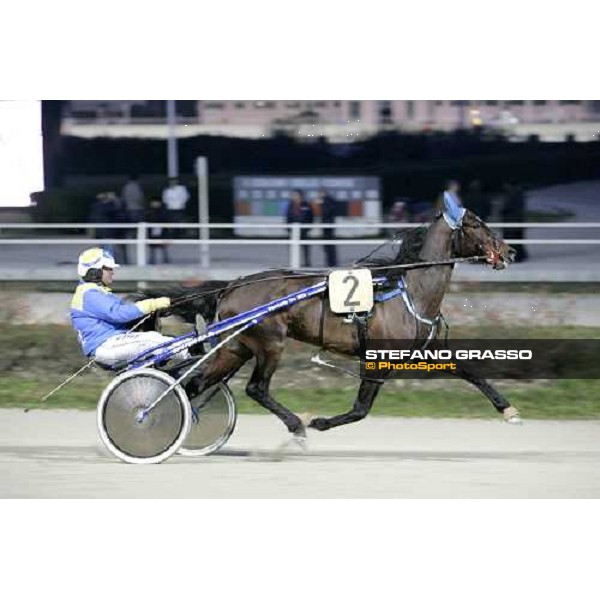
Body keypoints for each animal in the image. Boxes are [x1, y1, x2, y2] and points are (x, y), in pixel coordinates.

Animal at [154, 204, 516, 438]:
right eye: (477, 224)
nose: (510, 251)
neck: (411, 290)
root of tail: (231, 286)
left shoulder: (424, 351)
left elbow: (472, 373)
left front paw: (508, 409)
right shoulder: (378, 358)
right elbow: (360, 409)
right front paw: (320, 422)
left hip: (236, 348)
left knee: (195, 385)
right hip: (269, 343)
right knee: (255, 388)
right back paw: (296, 424)